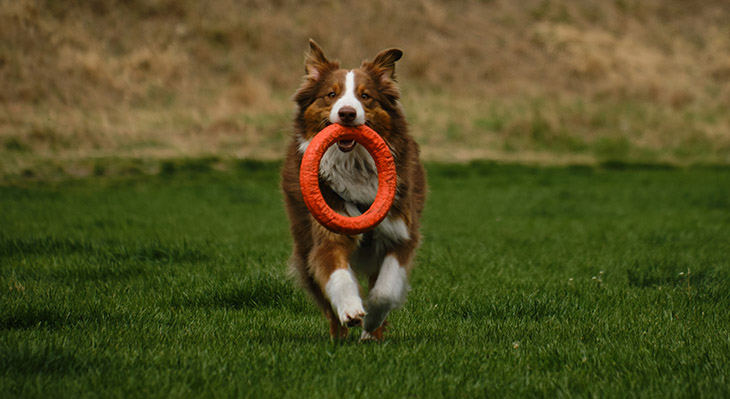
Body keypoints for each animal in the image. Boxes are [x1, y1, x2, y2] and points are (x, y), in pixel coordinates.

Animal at [280, 39, 426, 340]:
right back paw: (339, 337)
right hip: (303, 243)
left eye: (366, 96)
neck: (354, 163)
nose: (347, 113)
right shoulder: (327, 236)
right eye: (331, 94)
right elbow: (338, 276)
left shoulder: (401, 234)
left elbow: (384, 292)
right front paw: (351, 310)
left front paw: (370, 323)